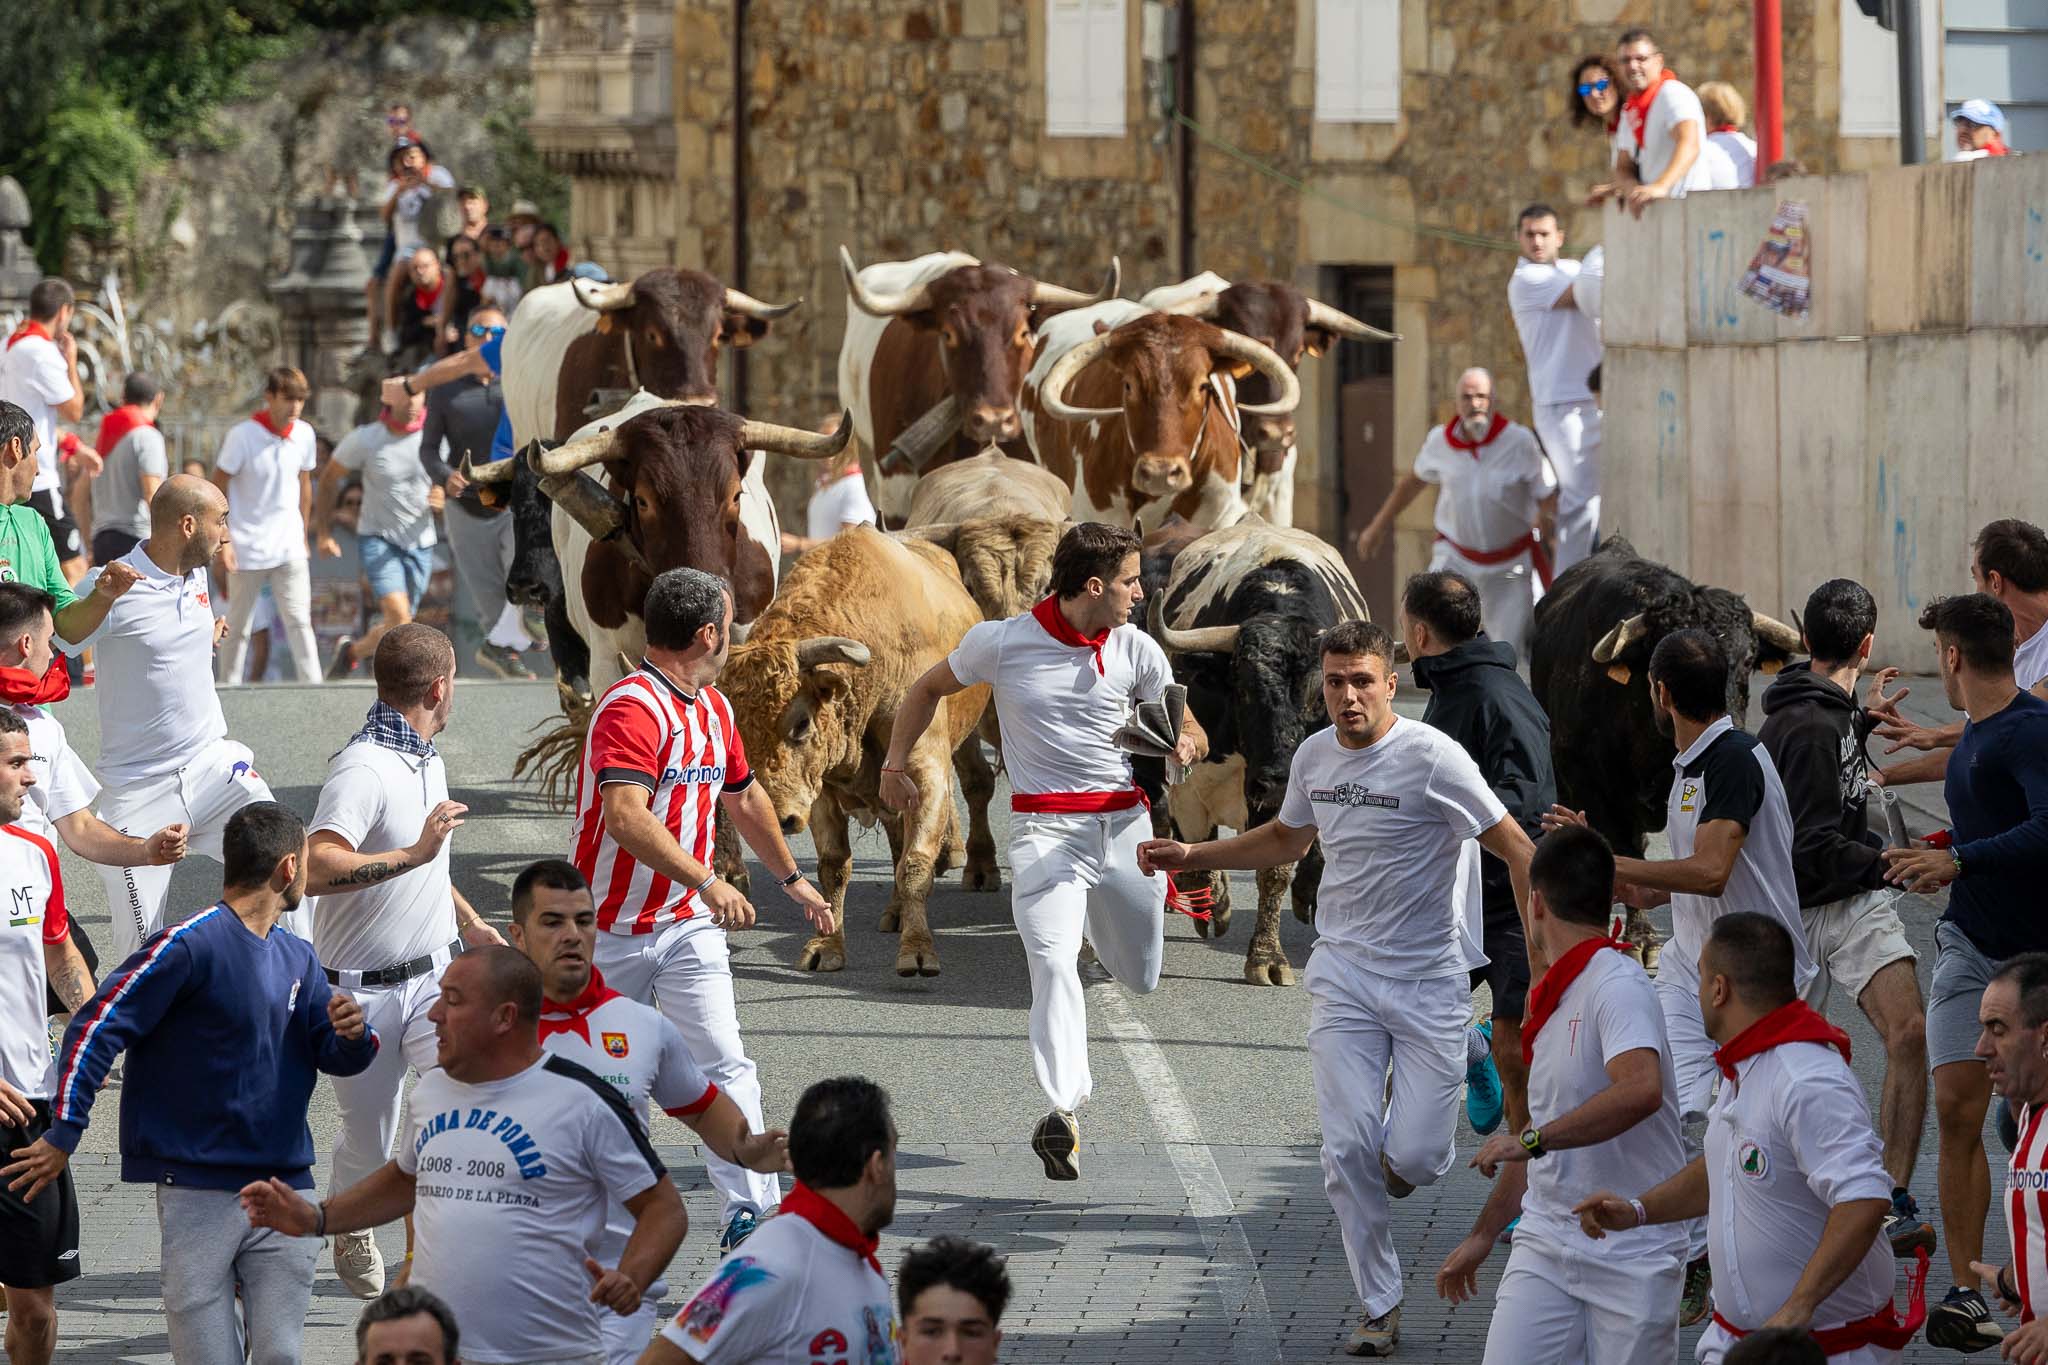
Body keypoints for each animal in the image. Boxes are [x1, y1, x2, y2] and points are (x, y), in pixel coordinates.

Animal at [724, 527, 995, 978]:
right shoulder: (820, 792)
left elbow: (916, 863)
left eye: (801, 723)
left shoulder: (927, 775)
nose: (779, 818)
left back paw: (980, 870)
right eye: (738, 733)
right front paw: (826, 947)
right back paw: (896, 913)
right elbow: (834, 867)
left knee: (978, 786)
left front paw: (918, 952)